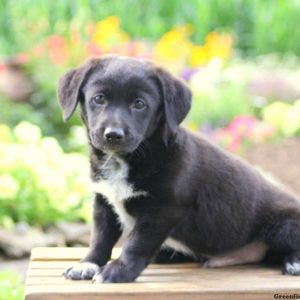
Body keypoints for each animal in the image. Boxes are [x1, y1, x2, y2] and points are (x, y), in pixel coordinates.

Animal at [58, 55, 300, 282]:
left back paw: (293, 263)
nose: (113, 135)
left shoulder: (161, 211)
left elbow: (136, 243)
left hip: (285, 225)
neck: (128, 159)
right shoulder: (104, 201)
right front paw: (87, 264)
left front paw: (118, 271)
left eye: (139, 104)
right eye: (99, 98)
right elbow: (100, 238)